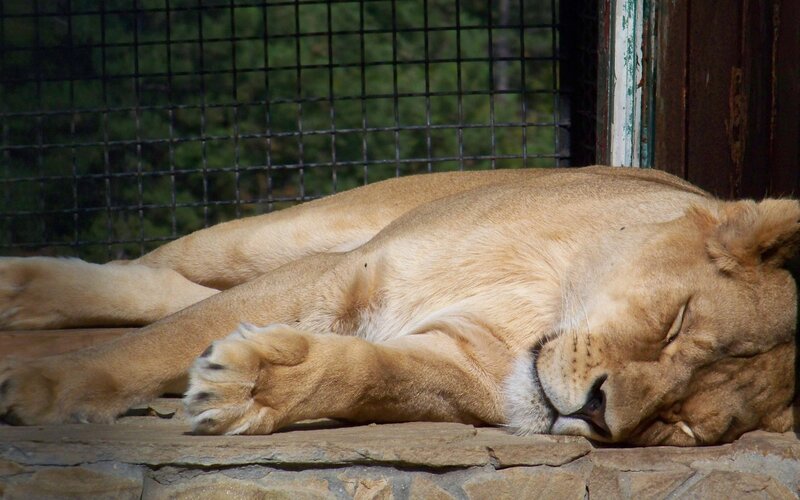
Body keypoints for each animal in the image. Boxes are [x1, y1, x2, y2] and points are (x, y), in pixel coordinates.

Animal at [0, 166, 797, 446]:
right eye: (675, 324)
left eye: (680, 426)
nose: (599, 414)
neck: (547, 297)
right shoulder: (344, 274)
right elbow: (164, 340)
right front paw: (45, 389)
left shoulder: (463, 369)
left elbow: (366, 375)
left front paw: (254, 387)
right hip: (307, 229)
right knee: (155, 272)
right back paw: (17, 287)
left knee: (169, 287)